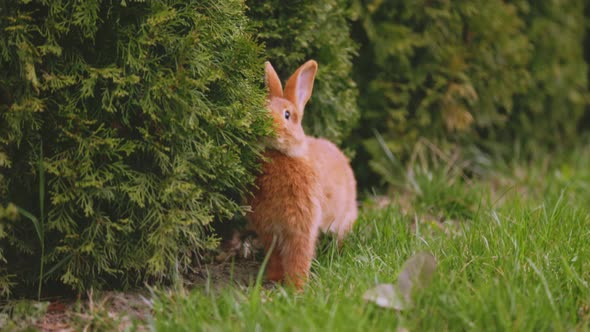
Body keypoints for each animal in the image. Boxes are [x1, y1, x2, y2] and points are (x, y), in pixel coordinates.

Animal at [247, 61, 358, 290]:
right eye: (261, 107)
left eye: (287, 115)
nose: (264, 124)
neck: (279, 154)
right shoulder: (269, 229)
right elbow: (274, 256)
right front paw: (273, 278)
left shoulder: (301, 226)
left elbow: (299, 256)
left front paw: (297, 286)